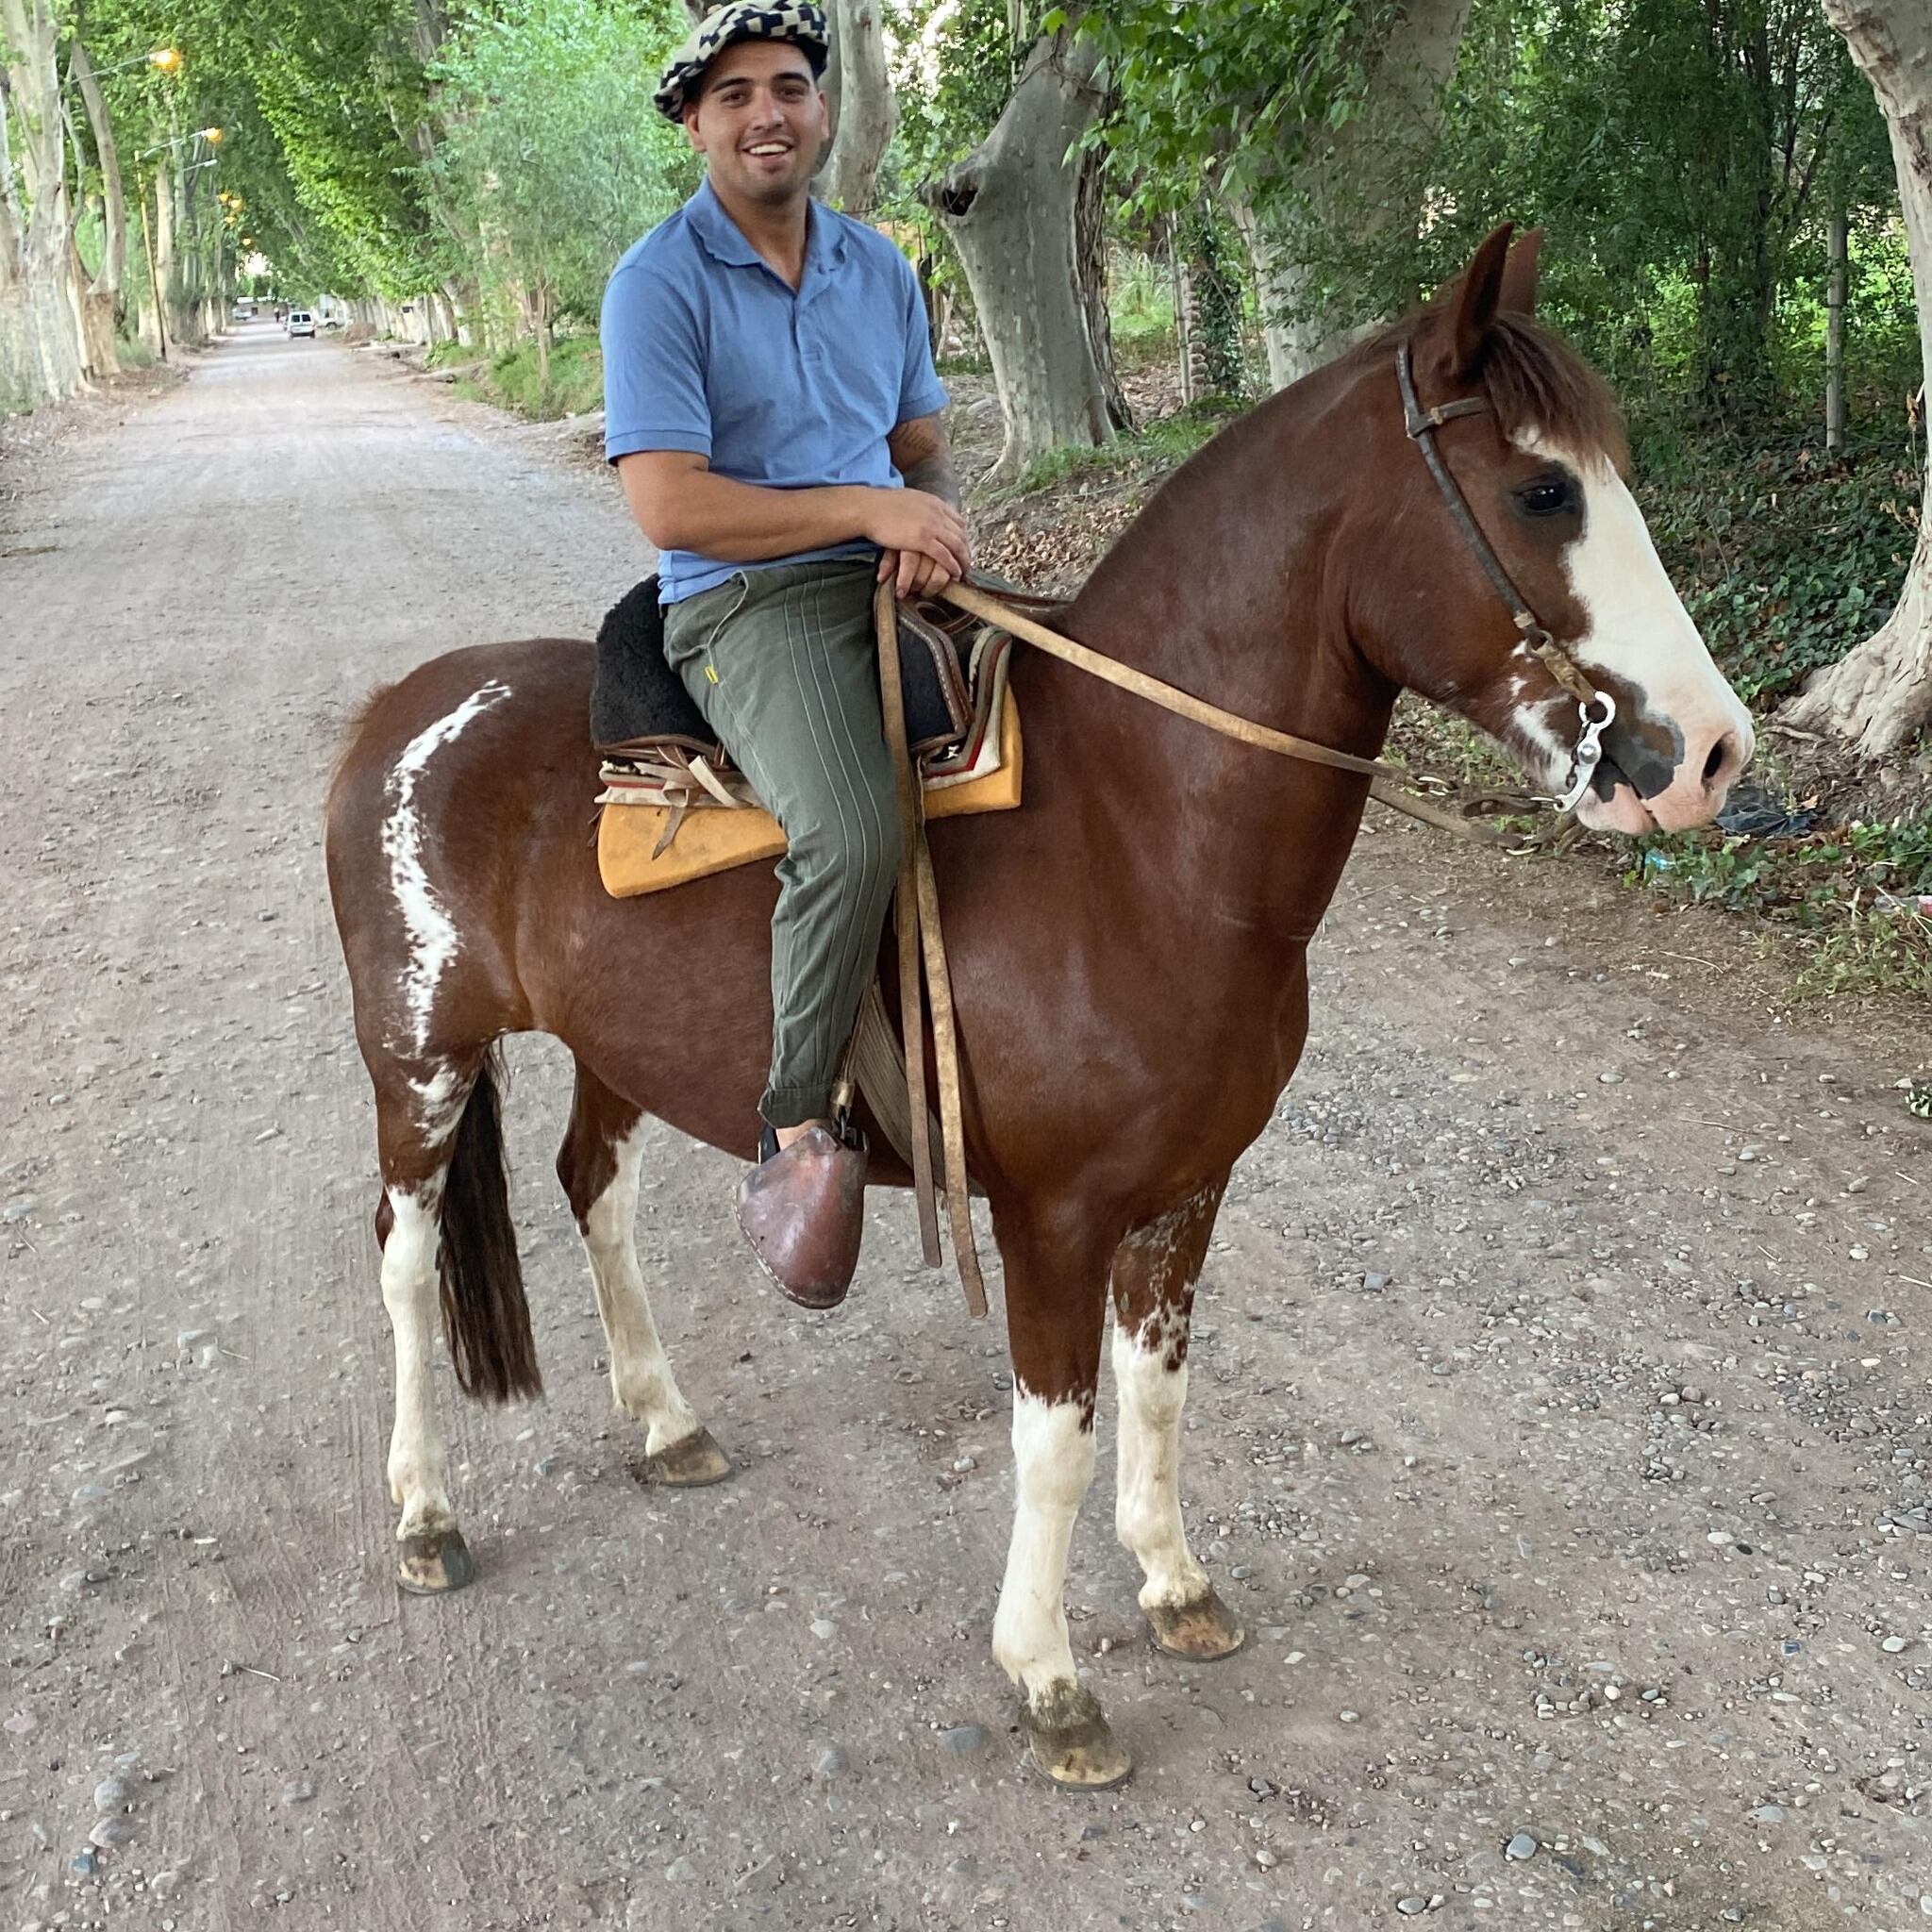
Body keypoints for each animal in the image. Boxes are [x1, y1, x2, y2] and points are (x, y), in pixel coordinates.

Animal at [328, 233, 1754, 1785]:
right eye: (1543, 490)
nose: (1711, 752)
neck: (1131, 831)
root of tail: (401, 705)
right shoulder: (1053, 1215)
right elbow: (1057, 1436)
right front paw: (1051, 1678)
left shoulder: (1186, 1190)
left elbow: (1160, 1390)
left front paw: (1177, 1586)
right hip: (420, 1058)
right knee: (403, 1262)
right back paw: (423, 1514)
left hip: (611, 1051)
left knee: (596, 1189)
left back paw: (662, 1424)